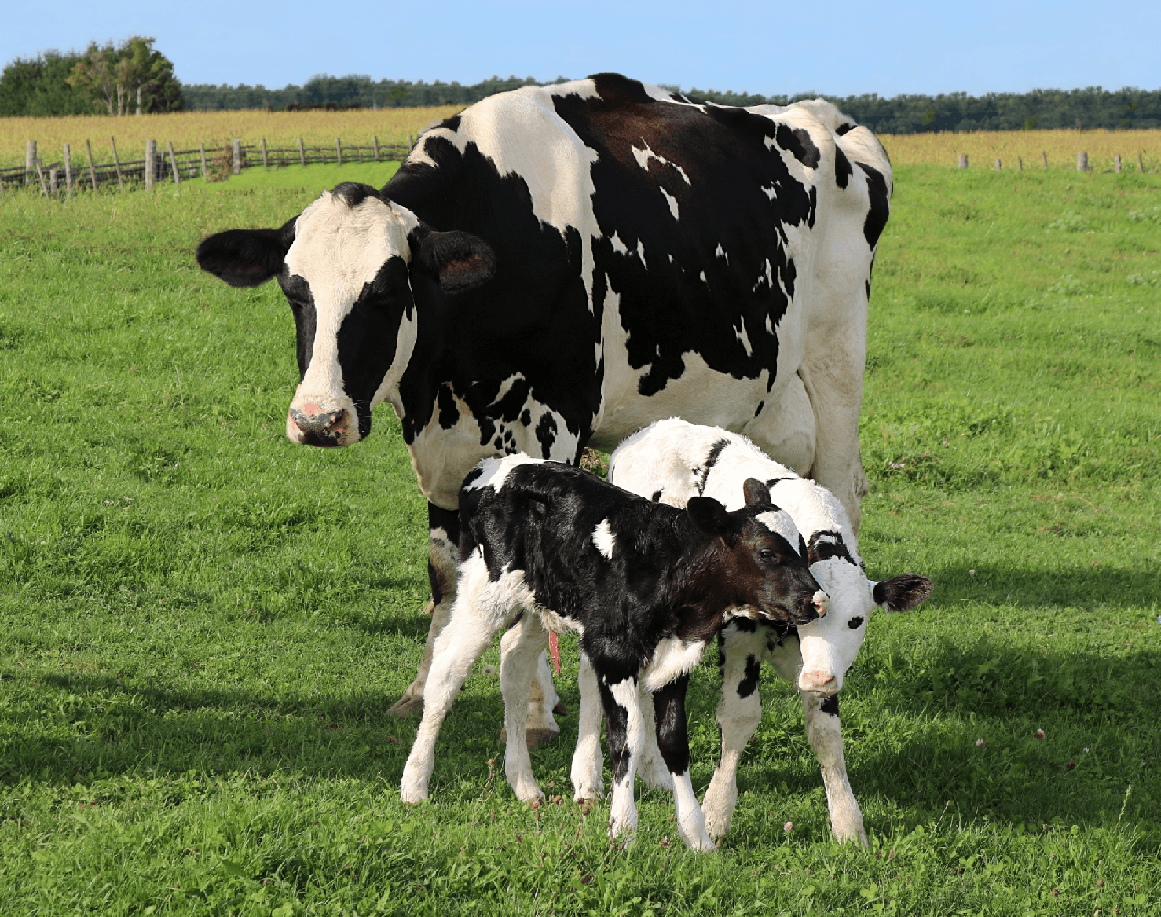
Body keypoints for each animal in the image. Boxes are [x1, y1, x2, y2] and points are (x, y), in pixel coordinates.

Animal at [193, 73, 893, 739]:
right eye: (294, 290)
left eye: (388, 292)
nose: (318, 419)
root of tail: (826, 117)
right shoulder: (436, 445)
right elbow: (444, 571)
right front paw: (421, 689)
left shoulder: (553, 424)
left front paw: (536, 711)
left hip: (836, 367)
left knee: (839, 498)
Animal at [399, 454, 827, 850]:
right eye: (767, 553)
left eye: (802, 547)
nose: (819, 601)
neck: (667, 567)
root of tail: (493, 465)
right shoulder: (615, 655)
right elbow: (628, 739)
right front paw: (623, 829)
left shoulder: (675, 662)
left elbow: (674, 742)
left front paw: (697, 836)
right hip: (484, 595)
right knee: (446, 673)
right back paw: (415, 784)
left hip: (539, 603)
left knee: (514, 664)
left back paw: (524, 783)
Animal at [571, 418, 932, 845]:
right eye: (813, 617)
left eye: (856, 621)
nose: (818, 677)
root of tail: (649, 431)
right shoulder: (740, 639)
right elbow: (739, 717)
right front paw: (714, 815)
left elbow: (826, 733)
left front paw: (847, 824)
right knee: (592, 677)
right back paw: (587, 779)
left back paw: (651, 770)